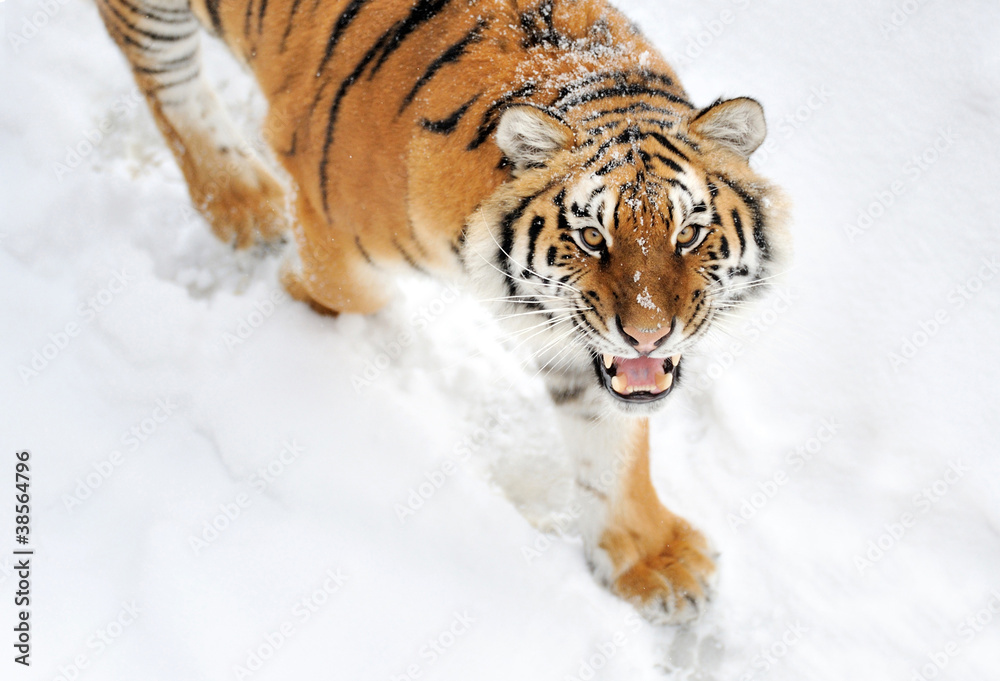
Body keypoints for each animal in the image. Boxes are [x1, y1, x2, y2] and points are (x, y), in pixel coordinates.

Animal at [94, 0, 789, 623]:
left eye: (688, 234)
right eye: (593, 237)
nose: (648, 335)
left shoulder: (582, 344)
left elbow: (609, 445)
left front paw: (648, 560)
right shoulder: (329, 228)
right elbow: (342, 291)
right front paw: (302, 302)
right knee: (164, 75)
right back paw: (244, 203)